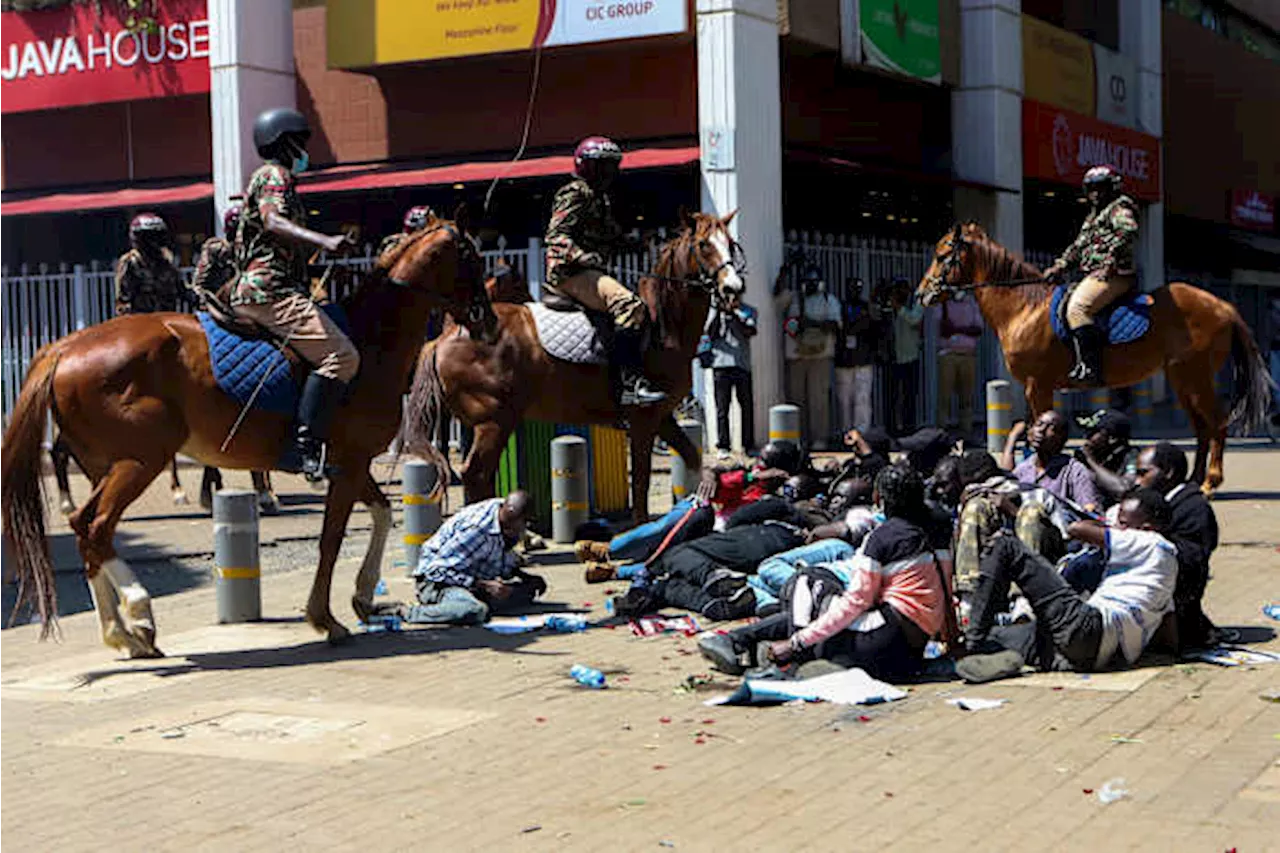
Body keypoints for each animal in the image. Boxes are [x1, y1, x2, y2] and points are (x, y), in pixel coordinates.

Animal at [0, 220, 494, 650]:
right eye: (470, 257)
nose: (486, 319)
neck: (370, 339)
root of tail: (65, 346)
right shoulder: (349, 464)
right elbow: (332, 539)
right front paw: (325, 618)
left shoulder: (350, 465)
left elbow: (382, 514)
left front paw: (362, 597)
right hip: (140, 461)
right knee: (97, 527)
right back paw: (139, 615)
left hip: (108, 466)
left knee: (86, 529)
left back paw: (123, 633)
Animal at [404, 211, 747, 517]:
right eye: (704, 245)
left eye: (730, 243)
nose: (733, 288)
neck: (661, 326)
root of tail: (442, 339)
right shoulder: (643, 421)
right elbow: (641, 485)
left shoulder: (662, 418)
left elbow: (692, 458)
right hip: (495, 422)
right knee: (476, 475)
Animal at [921, 222, 1269, 494]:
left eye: (942, 256)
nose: (922, 294)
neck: (1024, 308)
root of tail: (1223, 306)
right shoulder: (1033, 387)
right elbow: (1032, 427)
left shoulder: (1038, 385)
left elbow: (1041, 425)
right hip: (1184, 381)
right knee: (1202, 427)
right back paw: (1194, 480)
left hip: (1195, 379)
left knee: (1217, 422)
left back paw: (1210, 482)